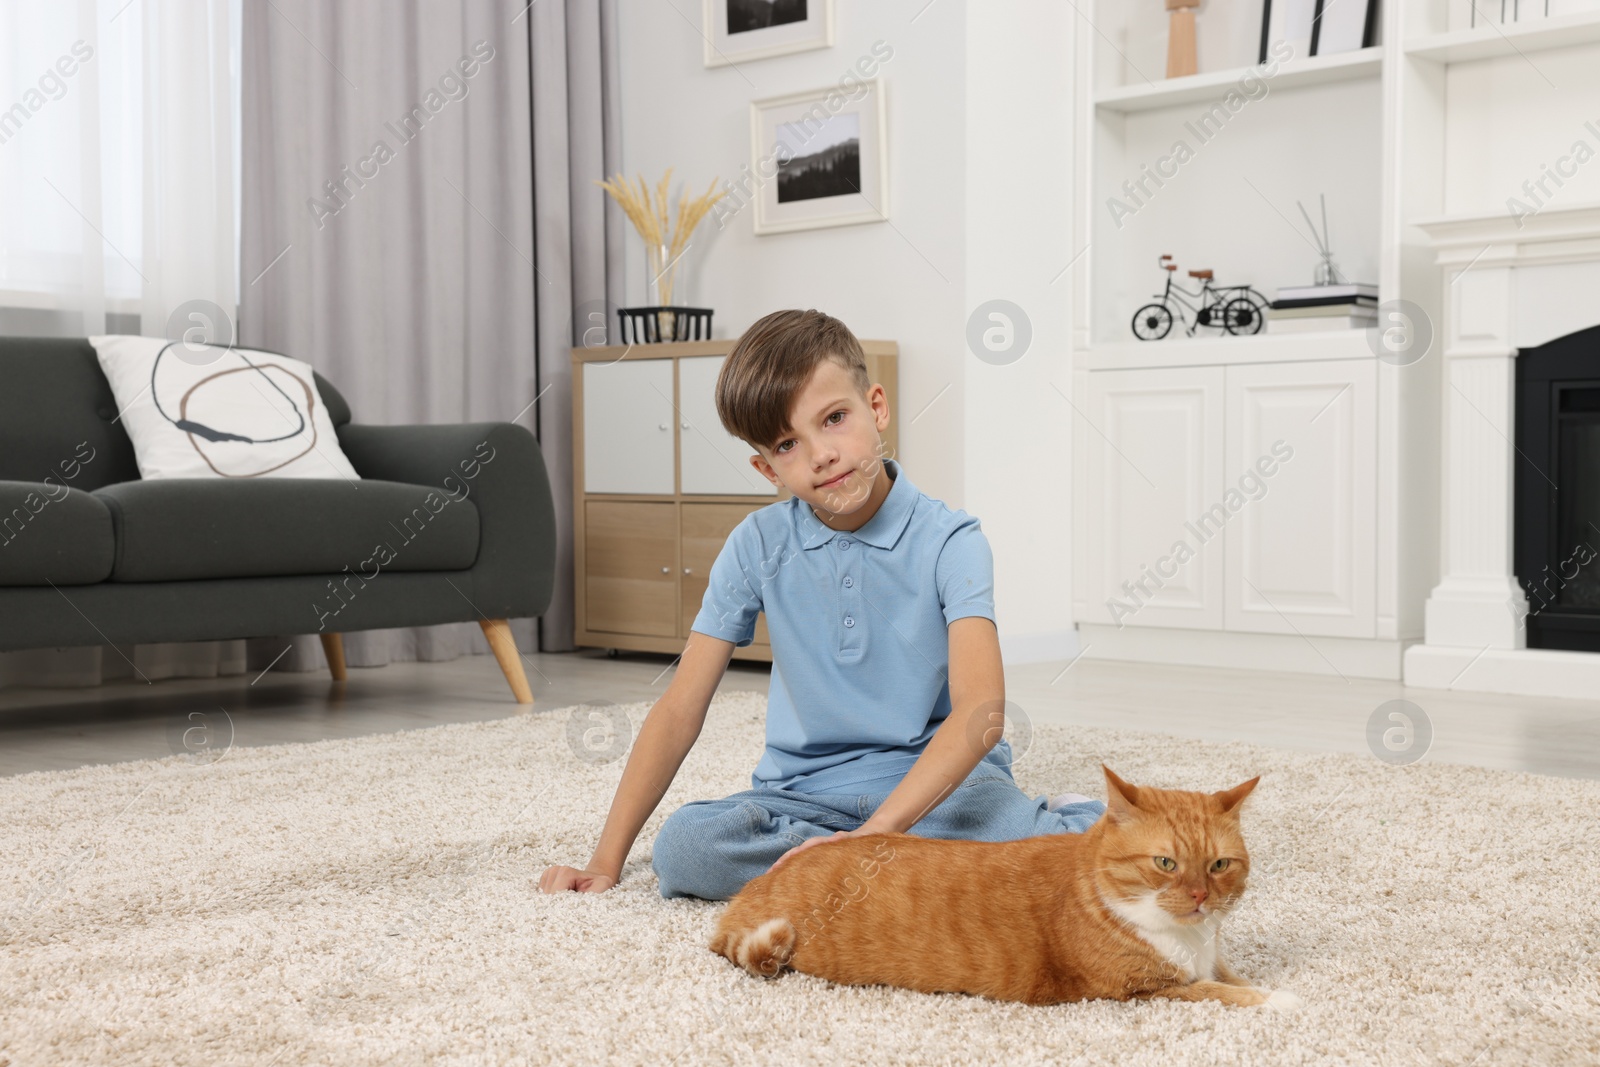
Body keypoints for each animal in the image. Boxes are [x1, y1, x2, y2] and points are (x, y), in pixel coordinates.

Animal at [710, 764, 1299, 1004]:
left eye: (1219, 866)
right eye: (1166, 864)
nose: (1201, 897)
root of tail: (749, 893)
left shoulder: (1208, 963)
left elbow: (1233, 977)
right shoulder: (1142, 990)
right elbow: (1227, 993)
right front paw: (1284, 1001)